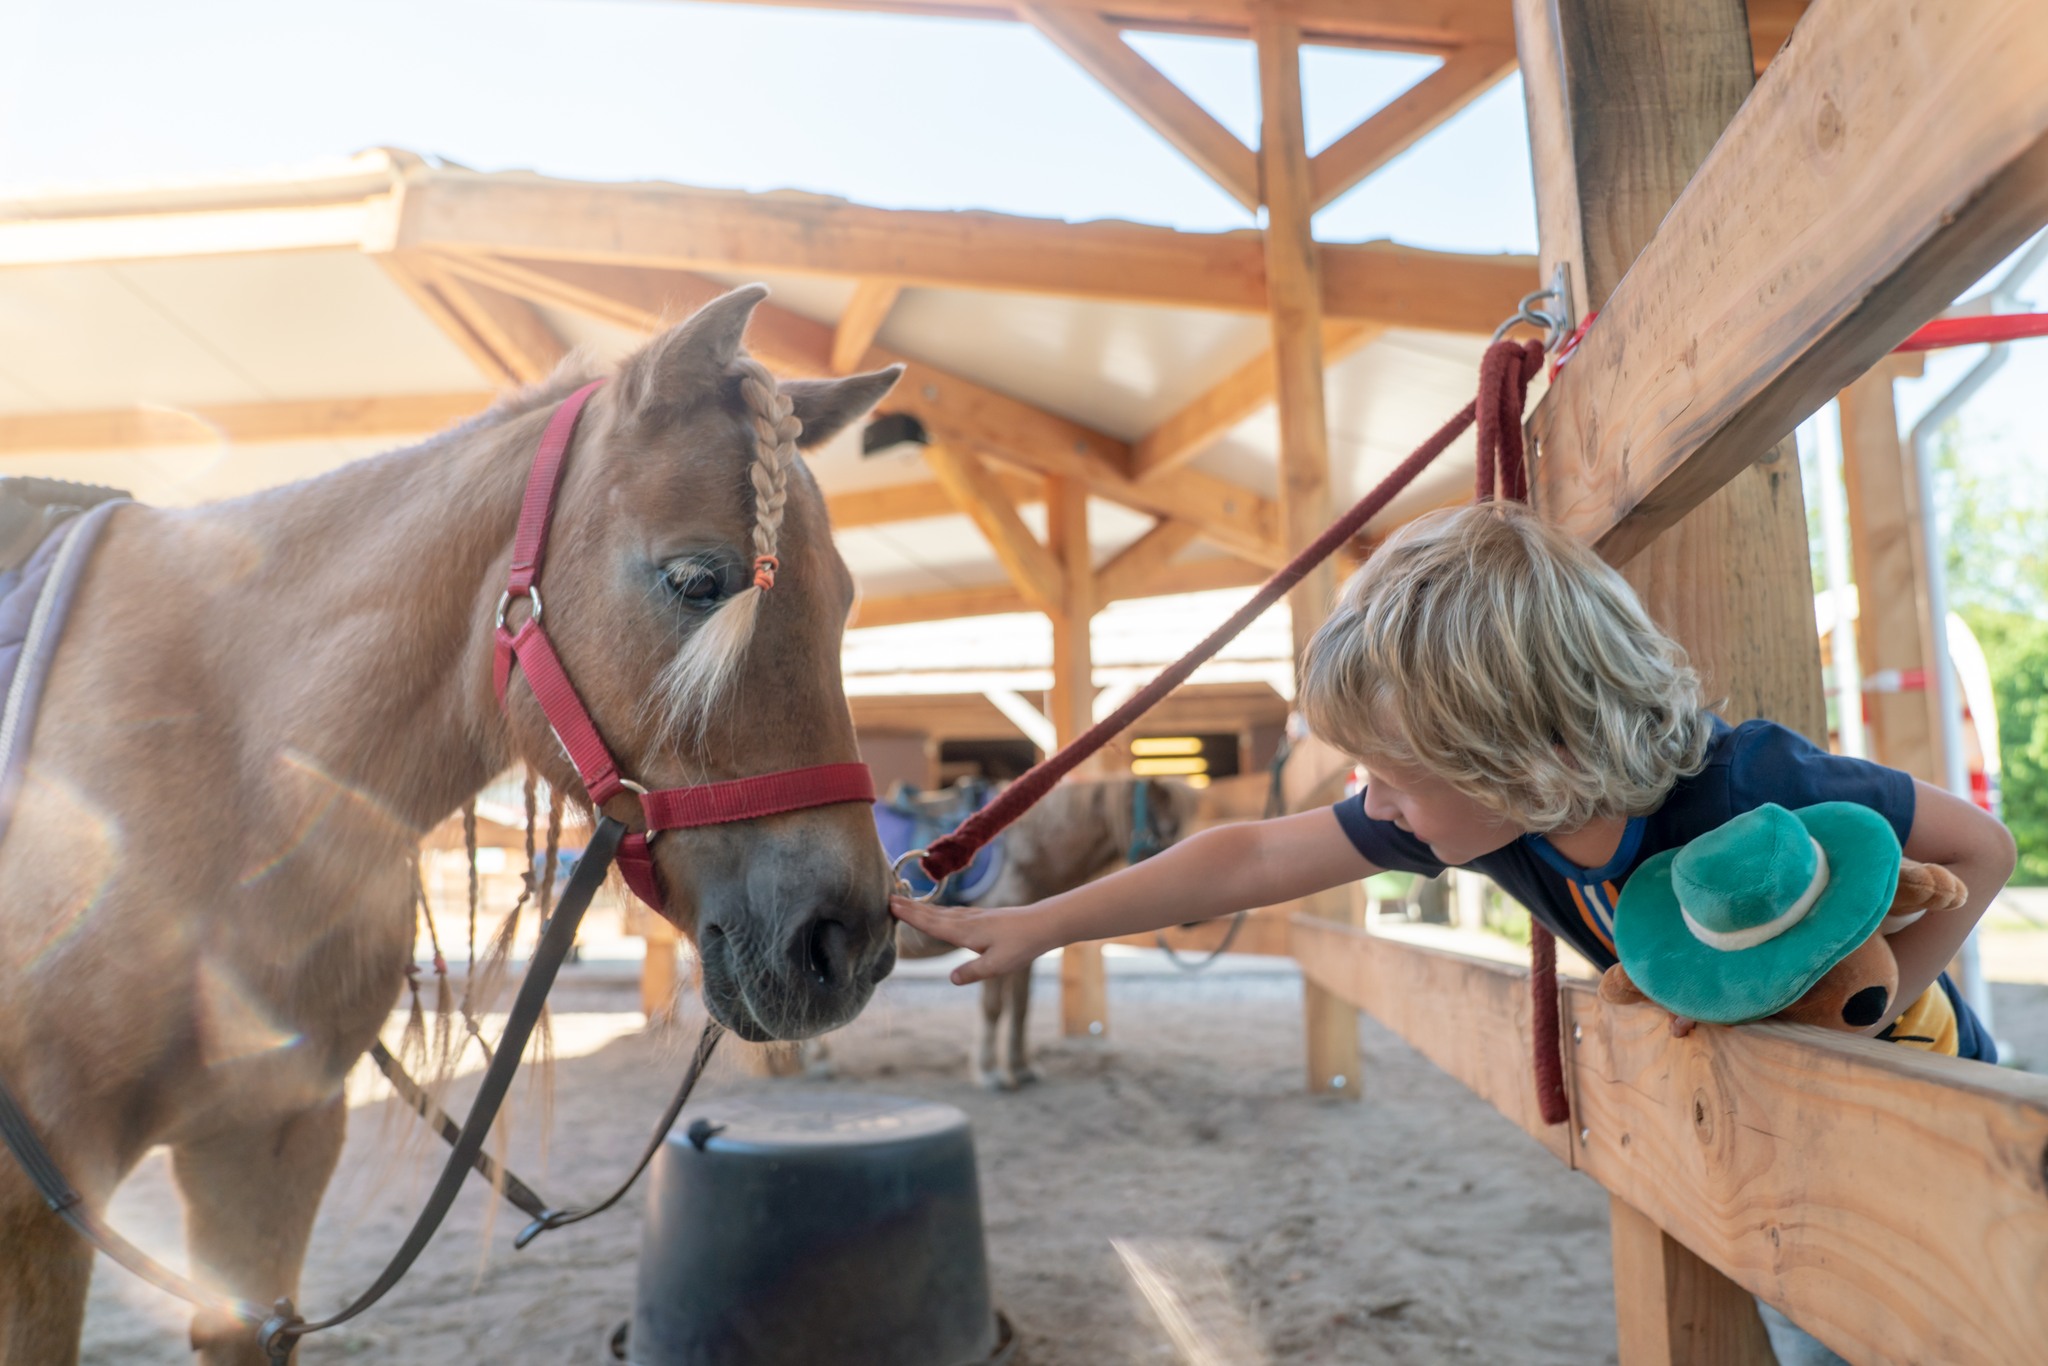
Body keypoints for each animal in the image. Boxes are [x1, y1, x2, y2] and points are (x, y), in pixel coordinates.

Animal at [0, 286, 903, 1364]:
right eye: (696, 579)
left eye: (845, 600)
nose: (845, 941)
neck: (216, 757)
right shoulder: (36, 1219)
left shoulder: (265, 1157)